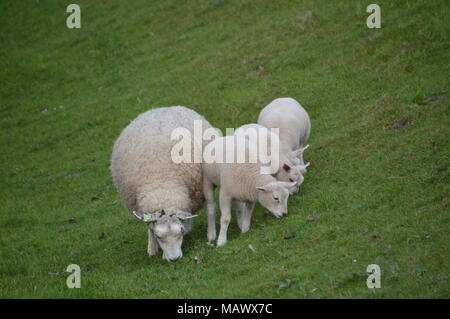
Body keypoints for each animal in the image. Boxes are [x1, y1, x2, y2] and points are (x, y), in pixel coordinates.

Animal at [112, 106, 218, 262]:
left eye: (180, 232)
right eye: (158, 236)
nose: (174, 259)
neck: (163, 185)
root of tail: (161, 108)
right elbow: (149, 226)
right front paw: (152, 248)